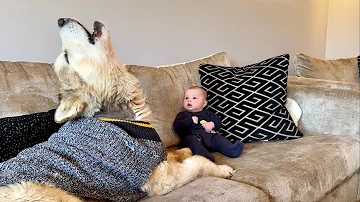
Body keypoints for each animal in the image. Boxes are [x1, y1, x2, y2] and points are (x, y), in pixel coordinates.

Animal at [0, 18, 235, 201]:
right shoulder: (159, 179)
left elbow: (174, 153)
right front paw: (222, 169)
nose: (60, 20)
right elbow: (198, 163)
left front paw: (182, 150)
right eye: (66, 56)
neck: (120, 114)